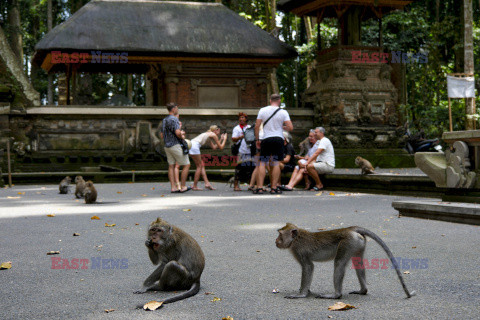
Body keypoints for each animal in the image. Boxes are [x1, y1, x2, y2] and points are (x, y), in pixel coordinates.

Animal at [276, 224, 414, 298]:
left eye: (280, 234)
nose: (276, 241)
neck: (295, 239)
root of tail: (350, 229)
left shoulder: (299, 251)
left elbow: (308, 267)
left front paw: (302, 294)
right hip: (357, 243)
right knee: (358, 263)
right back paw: (363, 290)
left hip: (347, 242)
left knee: (339, 263)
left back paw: (336, 294)